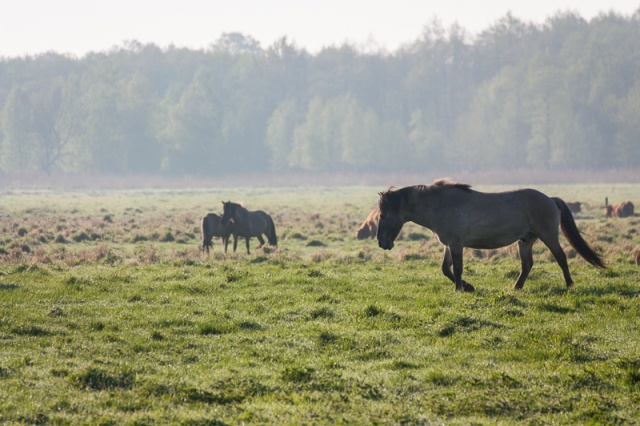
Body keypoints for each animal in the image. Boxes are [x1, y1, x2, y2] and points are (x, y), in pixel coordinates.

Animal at [378, 177, 608, 292]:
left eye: (382, 214)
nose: (381, 242)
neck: (441, 204)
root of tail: (550, 199)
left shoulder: (456, 244)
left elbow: (458, 268)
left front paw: (460, 289)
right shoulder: (448, 245)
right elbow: (446, 268)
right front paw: (468, 286)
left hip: (548, 235)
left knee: (561, 257)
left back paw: (569, 285)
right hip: (526, 240)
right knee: (527, 265)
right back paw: (517, 287)